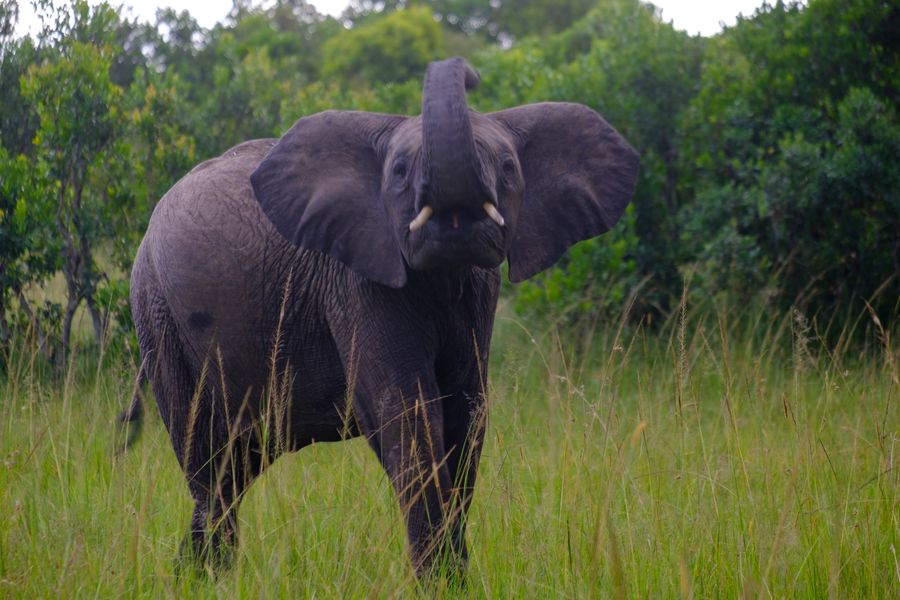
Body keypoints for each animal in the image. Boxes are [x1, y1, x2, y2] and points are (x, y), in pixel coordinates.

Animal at [127, 57, 638, 577]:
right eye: (398, 171)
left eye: (509, 167)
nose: (469, 71)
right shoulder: (353, 281)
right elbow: (408, 411)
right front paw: (441, 581)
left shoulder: (478, 288)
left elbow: (467, 416)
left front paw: (455, 578)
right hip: (156, 311)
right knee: (208, 465)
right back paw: (210, 576)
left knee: (234, 468)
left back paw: (193, 575)